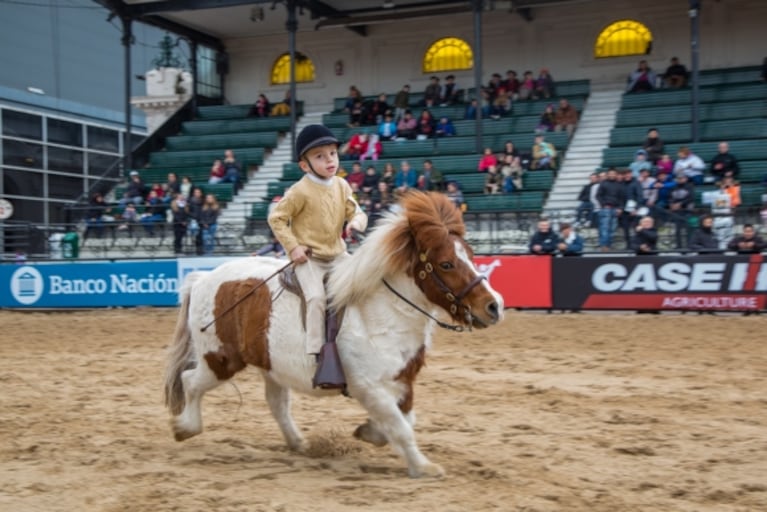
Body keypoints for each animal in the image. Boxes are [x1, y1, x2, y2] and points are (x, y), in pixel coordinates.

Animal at [164, 190, 504, 478]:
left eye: (471, 254)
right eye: (446, 264)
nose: (494, 306)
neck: (379, 312)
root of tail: (203, 278)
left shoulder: (403, 381)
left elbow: (405, 421)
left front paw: (371, 432)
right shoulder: (369, 387)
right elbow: (401, 428)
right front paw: (423, 466)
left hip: (270, 365)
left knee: (277, 404)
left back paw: (298, 443)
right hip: (220, 359)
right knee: (190, 381)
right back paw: (186, 427)